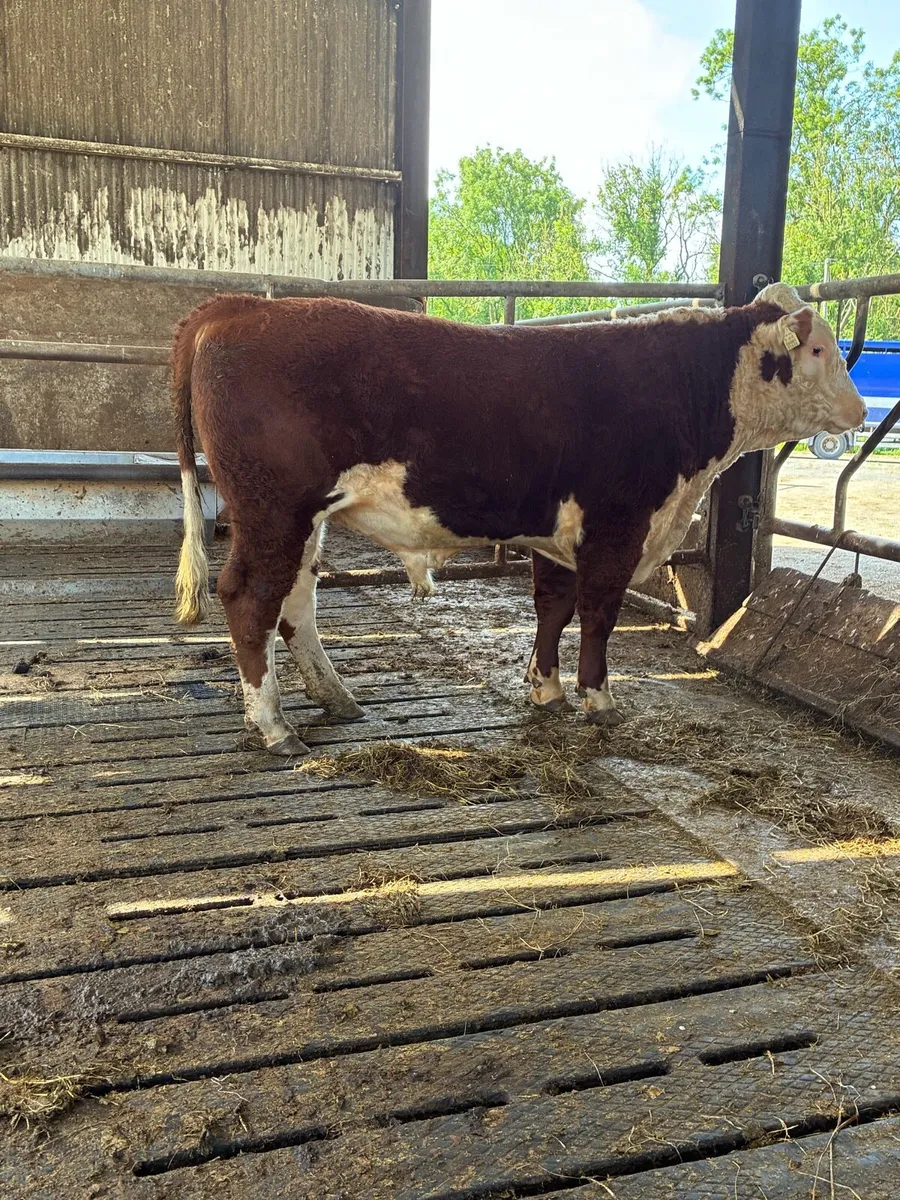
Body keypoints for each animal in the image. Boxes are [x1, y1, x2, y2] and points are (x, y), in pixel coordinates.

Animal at [172, 283, 865, 755]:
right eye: (819, 347)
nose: (859, 411)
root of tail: (236, 306)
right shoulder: (616, 526)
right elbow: (599, 614)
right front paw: (599, 699)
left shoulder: (558, 533)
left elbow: (553, 608)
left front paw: (545, 688)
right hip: (273, 510)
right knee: (249, 599)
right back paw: (273, 726)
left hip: (299, 518)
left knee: (295, 601)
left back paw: (335, 698)